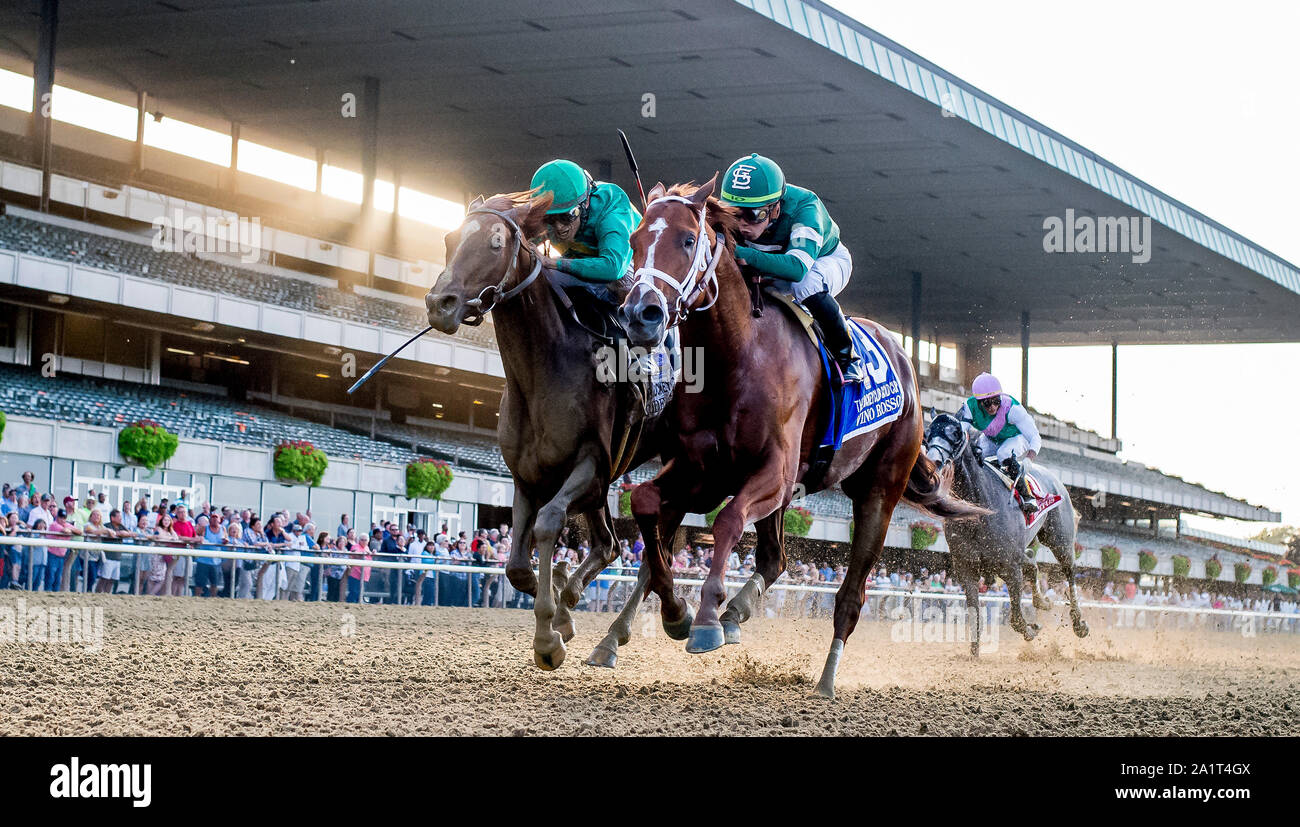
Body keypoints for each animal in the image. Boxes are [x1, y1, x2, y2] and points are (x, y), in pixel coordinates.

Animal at [426, 193, 665, 670]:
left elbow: (547, 523)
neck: (545, 368)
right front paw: (561, 616)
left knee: (650, 555)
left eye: (496, 244)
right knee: (610, 545)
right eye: (448, 238)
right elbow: (516, 564)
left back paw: (615, 636)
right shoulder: (526, 475)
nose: (438, 303)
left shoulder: (591, 465)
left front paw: (549, 639)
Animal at [618, 175, 982, 696]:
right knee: (774, 558)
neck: (737, 355)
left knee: (850, 596)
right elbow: (647, 505)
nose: (640, 314)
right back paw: (736, 612)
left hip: (878, 492)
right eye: (634, 240)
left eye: (687, 240)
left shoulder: (772, 471)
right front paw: (676, 613)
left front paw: (705, 618)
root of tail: (908, 366)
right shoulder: (702, 469)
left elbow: (727, 522)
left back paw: (825, 680)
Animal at [920, 410, 1092, 652]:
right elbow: (975, 618)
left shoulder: (1010, 567)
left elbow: (1016, 619)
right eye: (927, 434)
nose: (933, 461)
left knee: (1069, 571)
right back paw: (1043, 602)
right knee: (1032, 564)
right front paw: (973, 654)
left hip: (1059, 539)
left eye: (955, 434)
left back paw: (1079, 623)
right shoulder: (968, 568)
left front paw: (1031, 628)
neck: (980, 507)